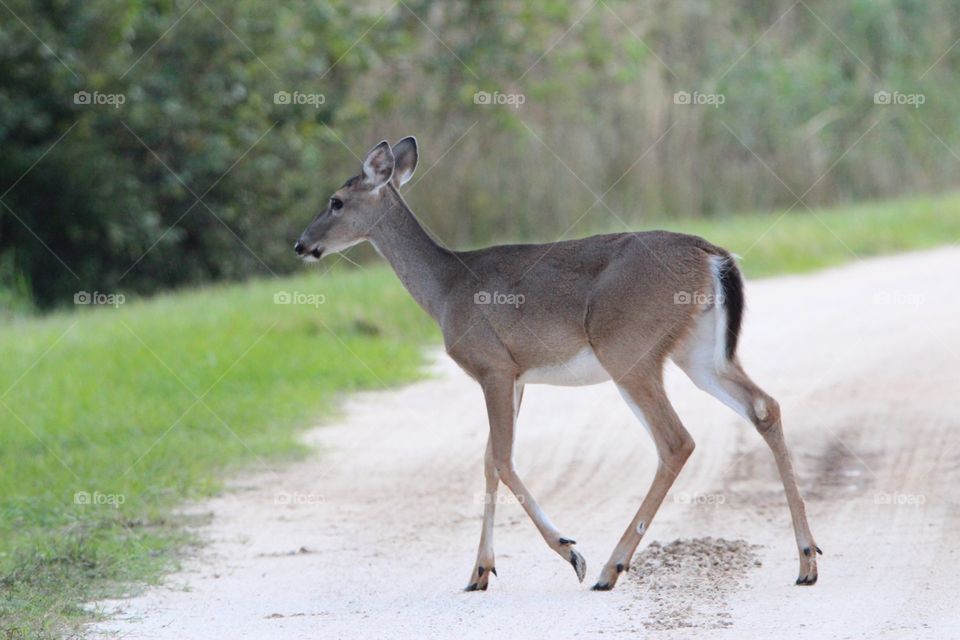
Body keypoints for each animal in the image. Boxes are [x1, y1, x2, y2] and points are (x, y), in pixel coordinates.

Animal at [292, 138, 816, 592]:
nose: (300, 244)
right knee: (764, 406)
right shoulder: (517, 376)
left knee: (676, 441)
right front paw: (479, 572)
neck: (445, 289)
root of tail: (714, 256)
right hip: (700, 352)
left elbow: (503, 459)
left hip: (628, 349)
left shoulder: (492, 366)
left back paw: (608, 567)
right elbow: (488, 460)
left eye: (336, 201)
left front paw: (570, 552)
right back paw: (807, 561)